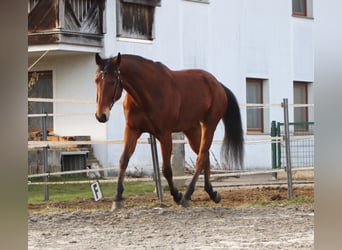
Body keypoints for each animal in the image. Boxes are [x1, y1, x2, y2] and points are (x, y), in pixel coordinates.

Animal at [94, 53, 243, 209]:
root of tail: (218, 84)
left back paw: (188, 196)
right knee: (205, 156)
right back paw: (212, 193)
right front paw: (117, 199)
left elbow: (166, 169)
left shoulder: (164, 135)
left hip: (209, 125)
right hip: (192, 129)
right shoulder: (132, 130)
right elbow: (123, 161)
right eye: (96, 80)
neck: (146, 93)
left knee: (201, 158)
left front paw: (177, 196)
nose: (101, 115)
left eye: (112, 82)